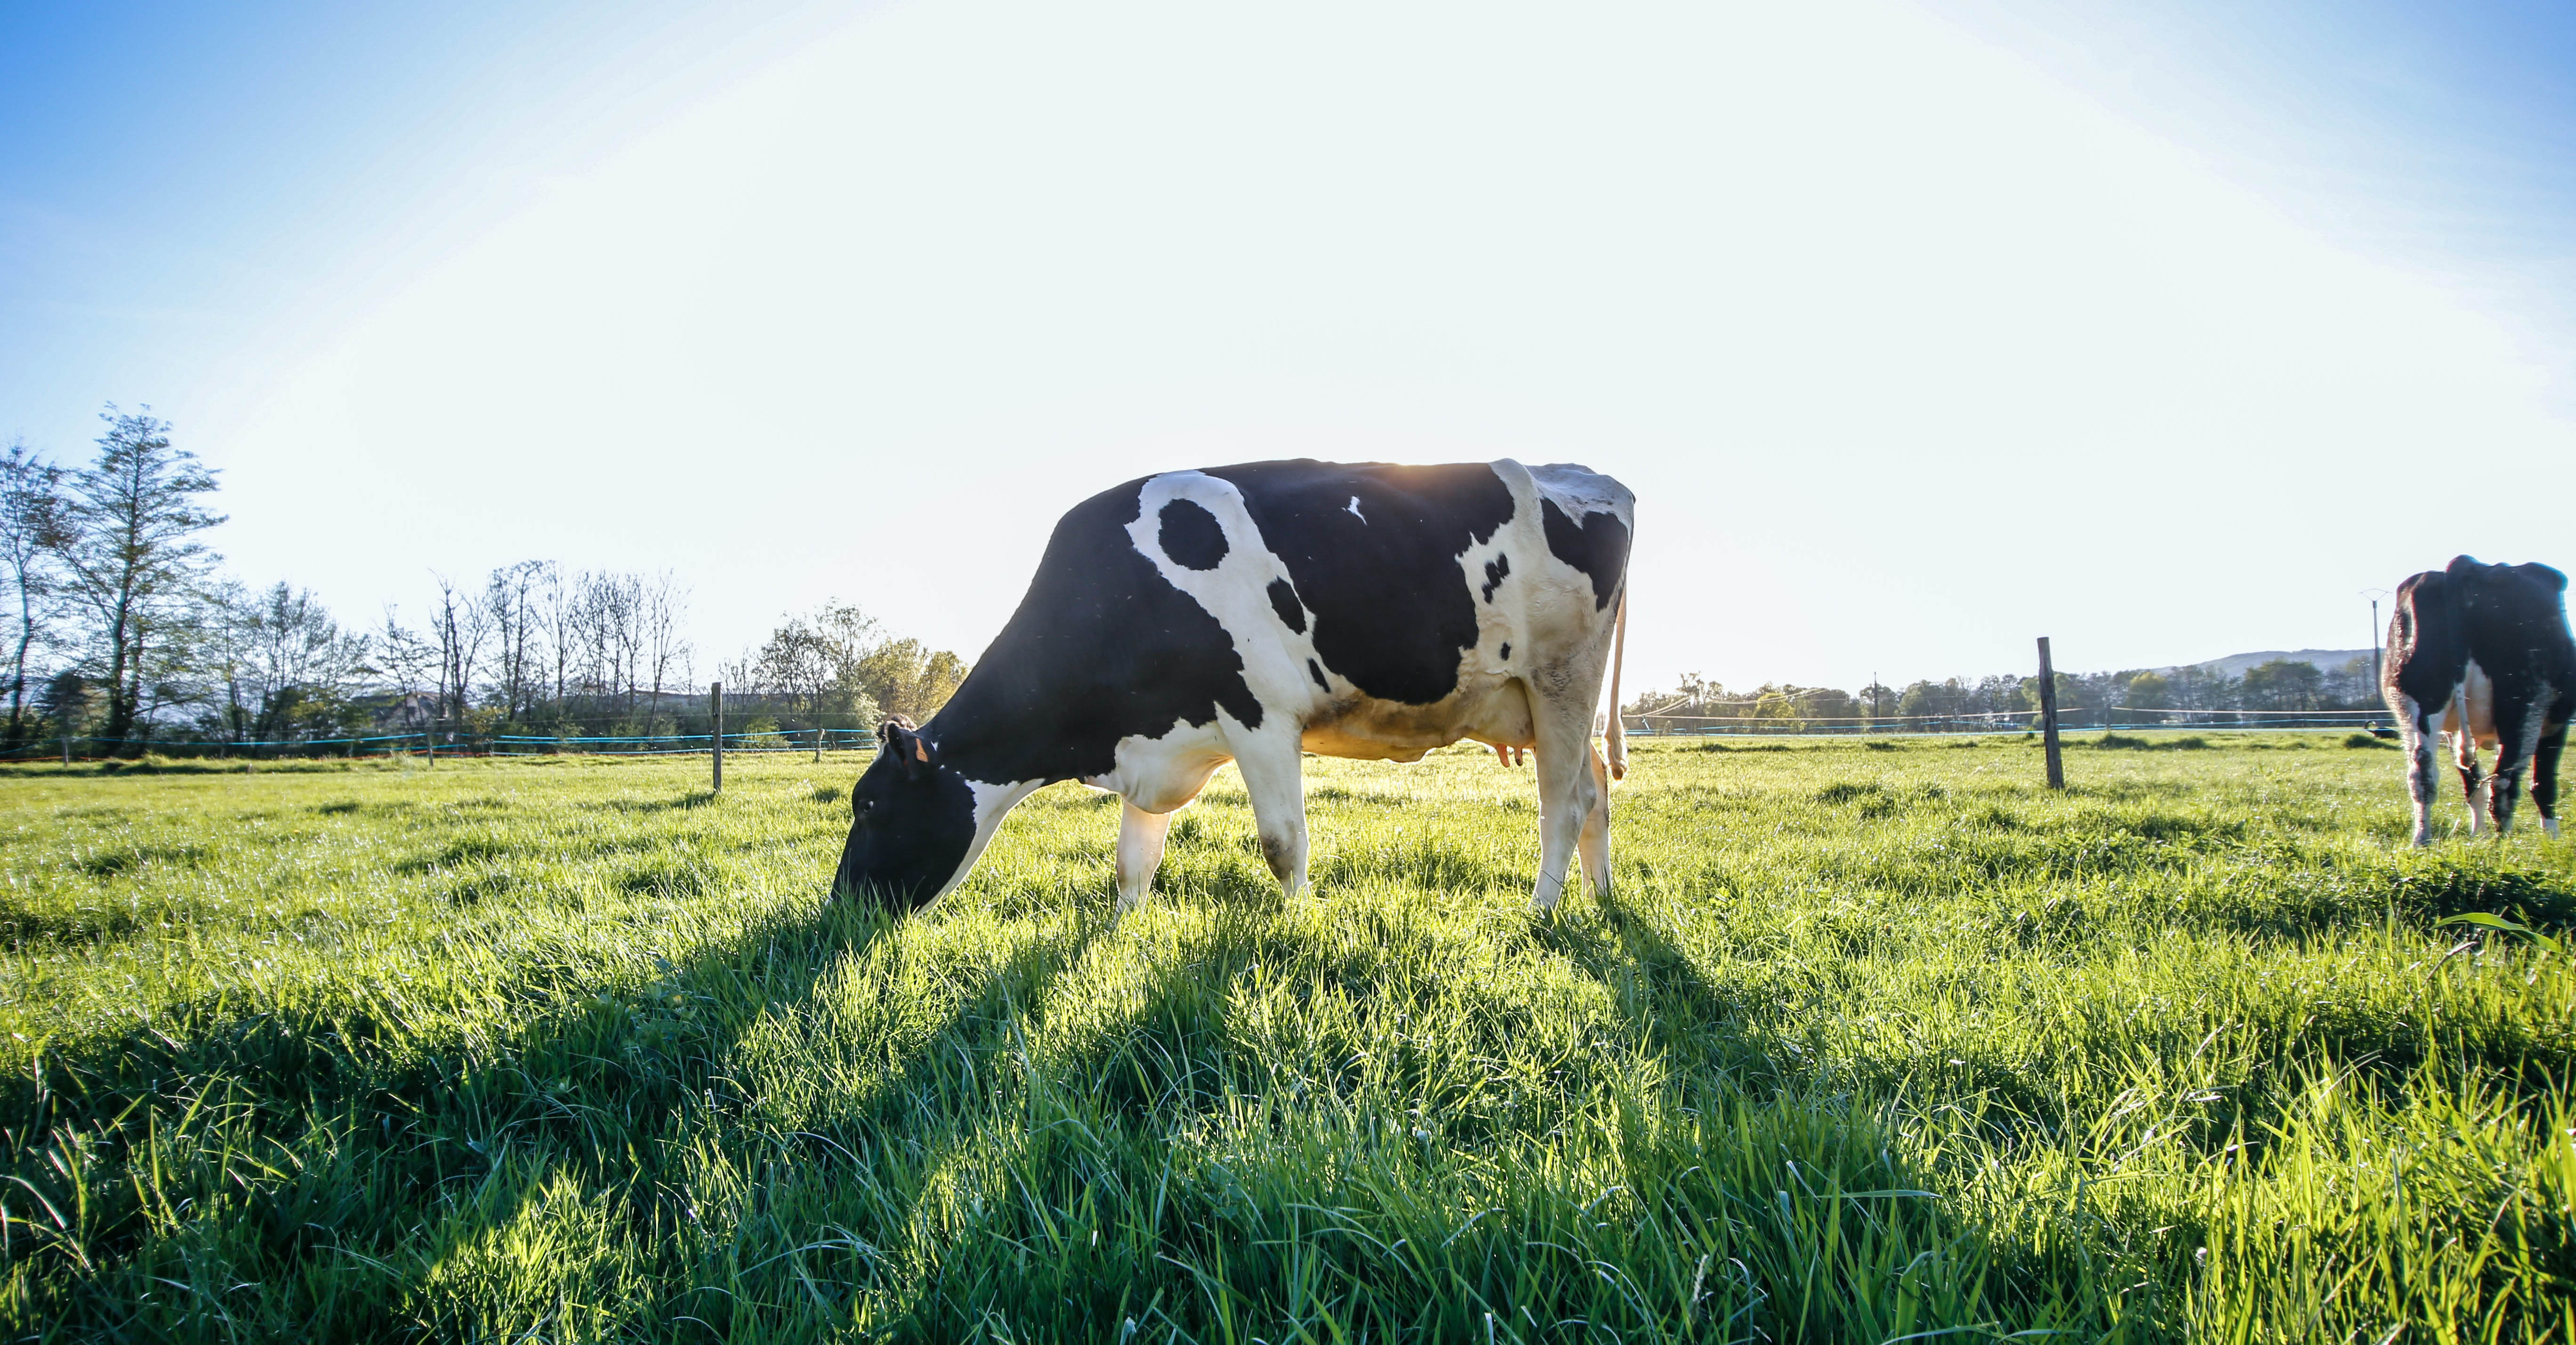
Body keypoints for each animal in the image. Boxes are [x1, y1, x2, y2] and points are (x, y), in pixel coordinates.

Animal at [834, 458, 1628, 912]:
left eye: (867, 805)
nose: (840, 908)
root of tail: (1590, 476)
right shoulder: (1156, 736)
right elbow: (1132, 863)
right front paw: (1122, 933)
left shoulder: (1262, 717)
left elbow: (1283, 844)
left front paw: (1301, 925)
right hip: (1547, 703)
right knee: (1596, 793)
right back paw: (1602, 899)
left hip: (1561, 679)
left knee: (1564, 804)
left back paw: (1541, 911)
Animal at [2380, 551, 2566, 845]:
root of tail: (2467, 565)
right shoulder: (2558, 720)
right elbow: (2544, 783)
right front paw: (2552, 839)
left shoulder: (2453, 730)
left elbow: (2472, 782)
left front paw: (2478, 835)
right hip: (2523, 703)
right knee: (2505, 779)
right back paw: (2504, 844)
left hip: (2417, 702)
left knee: (2422, 773)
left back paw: (2423, 840)